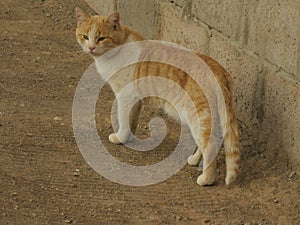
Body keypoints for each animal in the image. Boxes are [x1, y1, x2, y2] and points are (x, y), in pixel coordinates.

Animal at [75, 7, 239, 186]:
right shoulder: (135, 100)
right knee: (211, 140)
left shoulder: (125, 96)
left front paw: (119, 137)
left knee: (210, 145)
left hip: (196, 116)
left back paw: (206, 179)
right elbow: (131, 120)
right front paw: (128, 139)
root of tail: (218, 68)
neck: (117, 49)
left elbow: (123, 120)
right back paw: (195, 160)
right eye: (85, 36)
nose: (91, 47)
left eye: (101, 38)